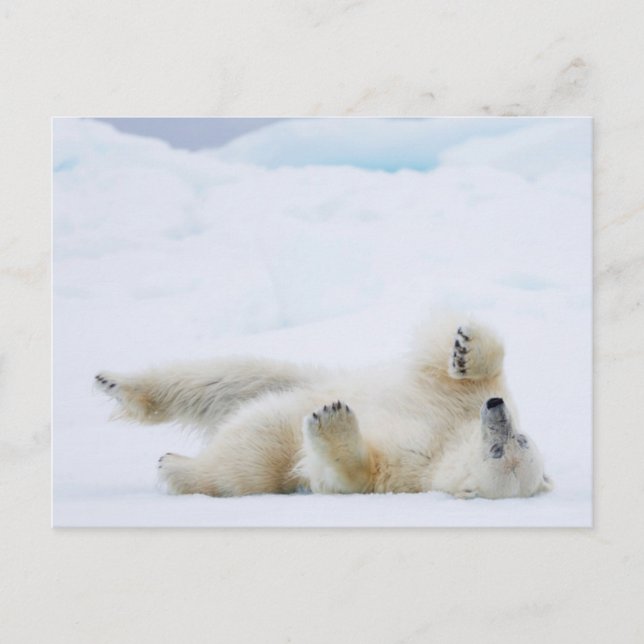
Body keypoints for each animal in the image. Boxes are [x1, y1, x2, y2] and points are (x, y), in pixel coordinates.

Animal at [94, 315, 552, 499]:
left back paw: (175, 464)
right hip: (294, 377)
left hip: (269, 447)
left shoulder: (409, 470)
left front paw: (332, 419)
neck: (448, 442)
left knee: (244, 462)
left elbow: (349, 473)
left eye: (503, 449)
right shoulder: (454, 402)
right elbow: (459, 370)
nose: (496, 411)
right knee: (224, 377)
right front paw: (465, 348)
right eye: (520, 438)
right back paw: (115, 383)